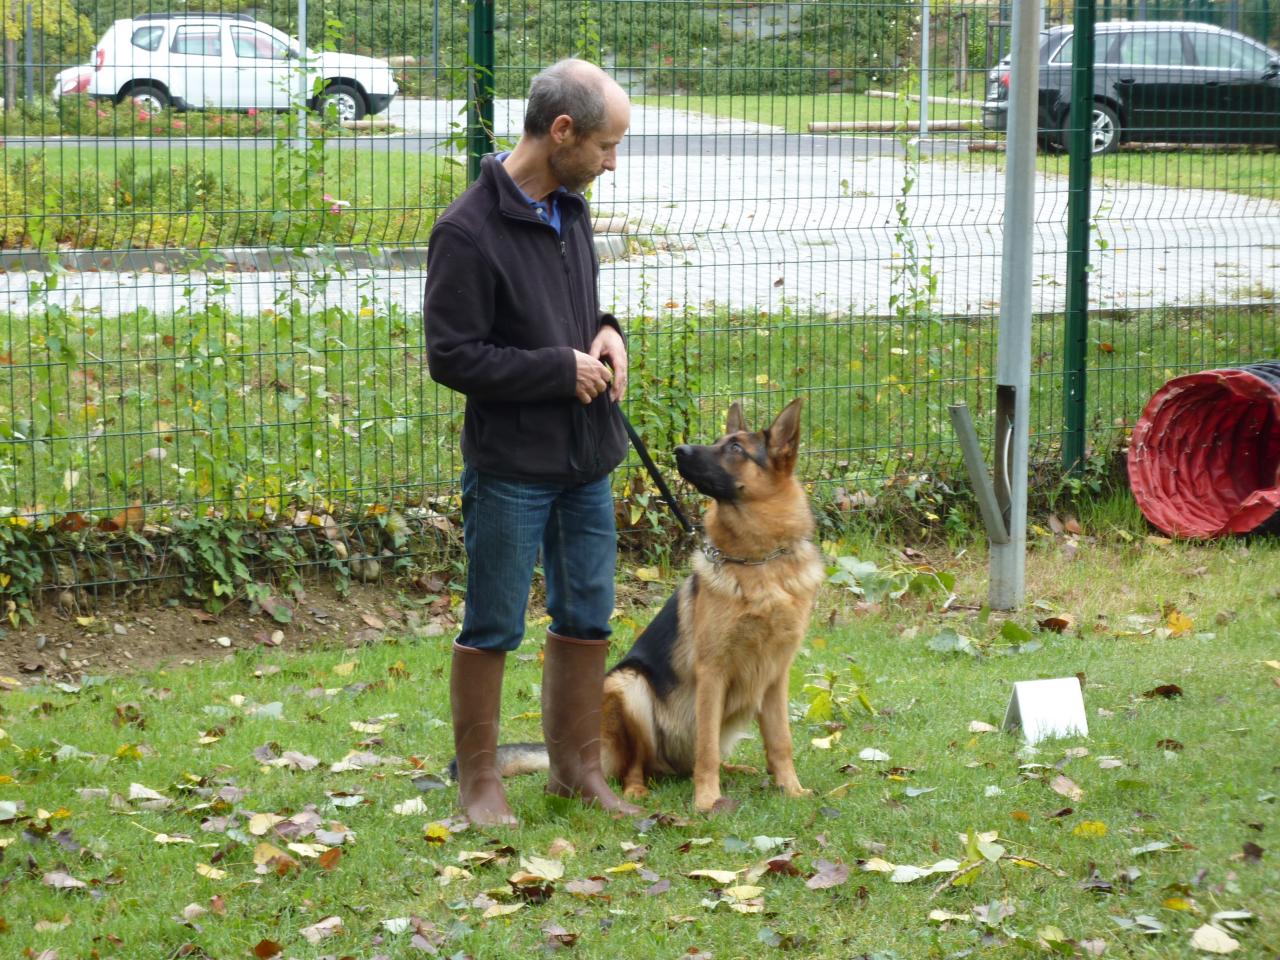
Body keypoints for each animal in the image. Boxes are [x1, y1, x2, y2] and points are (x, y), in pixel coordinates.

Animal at [476, 401, 824, 814]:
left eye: (736, 448)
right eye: (720, 442)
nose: (680, 450)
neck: (758, 563)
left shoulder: (775, 676)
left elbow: (780, 740)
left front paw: (791, 789)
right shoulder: (712, 672)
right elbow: (707, 747)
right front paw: (707, 801)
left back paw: (735, 769)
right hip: (629, 686)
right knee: (638, 765)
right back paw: (635, 792)